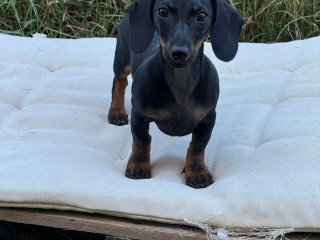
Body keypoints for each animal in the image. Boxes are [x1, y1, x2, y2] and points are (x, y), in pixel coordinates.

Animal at [107, 0, 242, 188]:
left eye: (202, 15)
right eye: (163, 12)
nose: (179, 53)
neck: (181, 84)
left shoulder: (208, 119)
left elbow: (198, 146)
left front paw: (197, 172)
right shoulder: (139, 116)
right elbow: (141, 141)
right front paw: (138, 166)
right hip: (122, 58)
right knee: (119, 82)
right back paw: (117, 112)